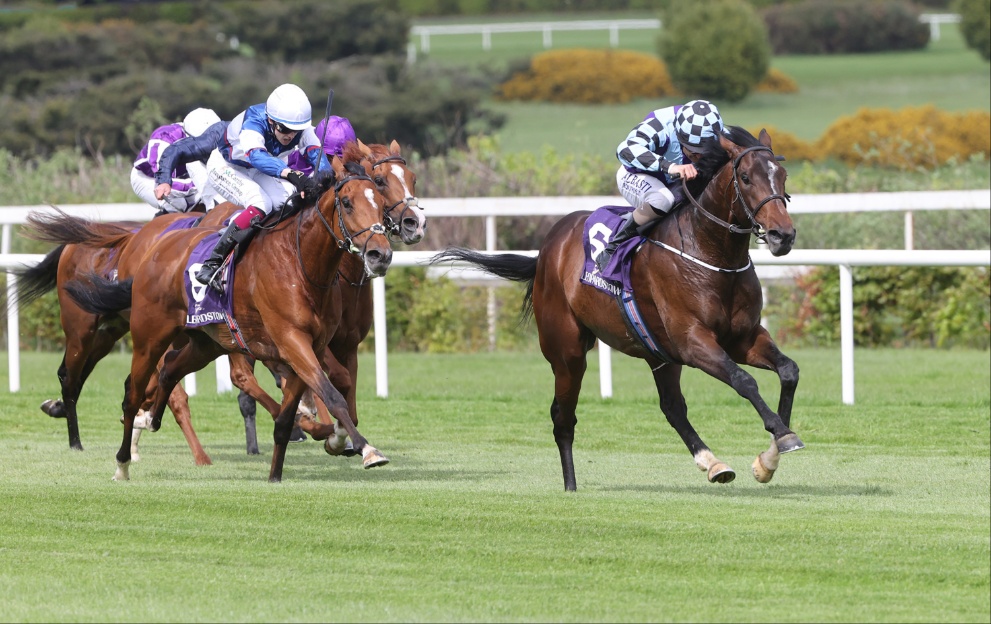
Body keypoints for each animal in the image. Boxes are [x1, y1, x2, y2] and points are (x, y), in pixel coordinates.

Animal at [434, 124, 808, 490]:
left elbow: (789, 370)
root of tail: (546, 251)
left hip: (659, 354)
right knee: (563, 417)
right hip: (567, 352)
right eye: (745, 177)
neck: (711, 254)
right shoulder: (693, 341)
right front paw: (783, 436)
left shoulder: (741, 338)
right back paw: (570, 486)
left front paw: (768, 460)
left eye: (783, 175)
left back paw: (713, 464)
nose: (783, 235)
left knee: (672, 407)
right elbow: (744, 381)